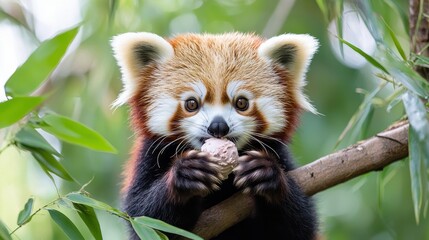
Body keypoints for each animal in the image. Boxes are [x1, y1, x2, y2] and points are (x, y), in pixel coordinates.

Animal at [110, 32, 318, 240]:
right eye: (191, 104)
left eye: (241, 102)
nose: (218, 126)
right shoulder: (150, 155)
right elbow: (144, 217)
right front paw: (187, 173)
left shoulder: (279, 154)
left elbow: (299, 225)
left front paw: (265, 173)